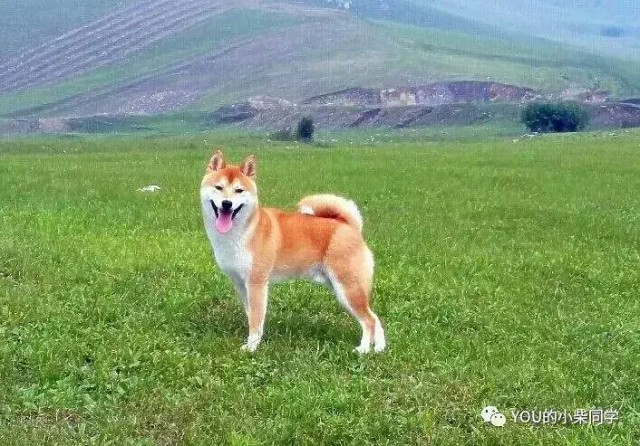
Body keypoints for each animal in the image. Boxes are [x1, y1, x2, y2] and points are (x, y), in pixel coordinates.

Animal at [199, 152, 384, 354]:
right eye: (219, 187)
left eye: (239, 190)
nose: (227, 204)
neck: (242, 232)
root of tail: (349, 226)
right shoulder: (240, 284)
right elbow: (253, 316)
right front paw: (256, 340)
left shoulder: (257, 283)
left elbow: (255, 318)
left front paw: (251, 347)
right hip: (342, 288)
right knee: (375, 317)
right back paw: (379, 348)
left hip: (348, 288)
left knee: (368, 320)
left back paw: (363, 350)